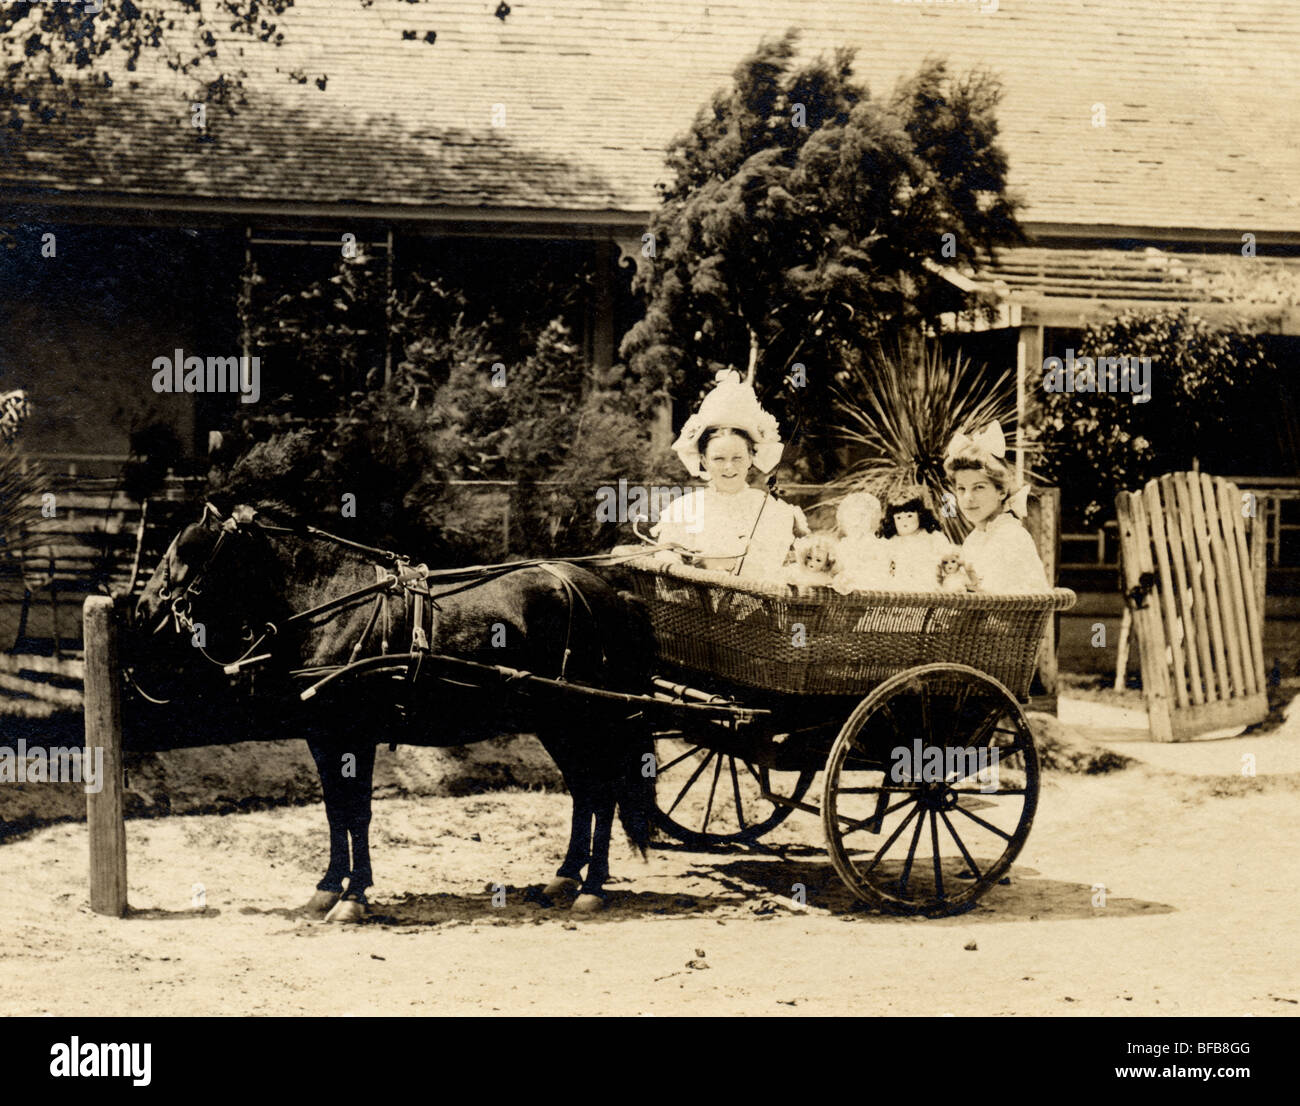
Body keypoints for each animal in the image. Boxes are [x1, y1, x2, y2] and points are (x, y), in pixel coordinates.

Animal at [130, 501, 655, 914]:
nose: (141, 609)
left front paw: (354, 896)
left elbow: (358, 811)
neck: (333, 604)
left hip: (587, 720)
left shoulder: (356, 733)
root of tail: (608, 592)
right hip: (557, 722)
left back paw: (591, 888)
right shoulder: (324, 736)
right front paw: (328, 887)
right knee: (586, 792)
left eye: (186, 551)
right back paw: (565, 877)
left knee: (604, 793)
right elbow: (335, 810)